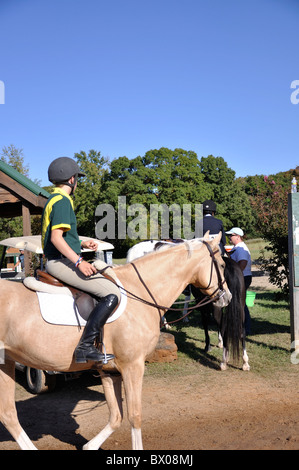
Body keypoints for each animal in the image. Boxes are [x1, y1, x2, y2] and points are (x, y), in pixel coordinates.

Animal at [0, 233, 232, 450]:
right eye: (222, 265)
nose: (227, 297)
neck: (139, 291)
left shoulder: (109, 370)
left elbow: (116, 416)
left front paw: (90, 446)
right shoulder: (133, 366)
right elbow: (134, 416)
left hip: (6, 364)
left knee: (8, 414)